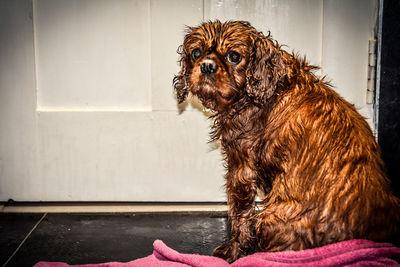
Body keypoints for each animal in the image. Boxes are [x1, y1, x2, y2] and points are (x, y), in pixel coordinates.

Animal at [173, 21, 398, 264]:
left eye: (234, 56)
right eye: (196, 53)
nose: (206, 66)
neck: (269, 88)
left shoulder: (241, 168)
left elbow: (240, 215)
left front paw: (233, 250)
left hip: (271, 216)